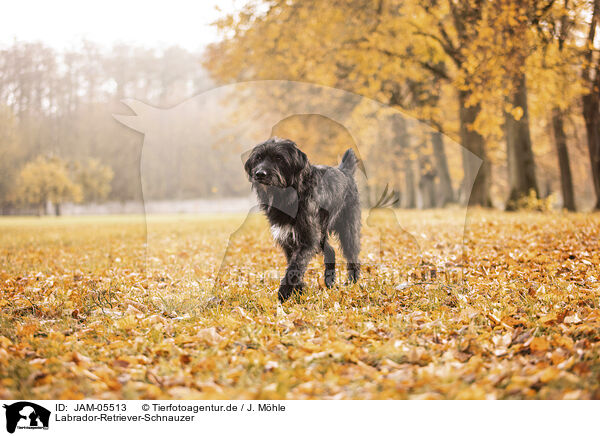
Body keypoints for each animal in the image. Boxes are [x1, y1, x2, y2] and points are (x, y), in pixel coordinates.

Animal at [244, 138, 360, 302]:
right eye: (258, 158)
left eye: (279, 158)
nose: (260, 174)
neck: (289, 195)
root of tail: (344, 171)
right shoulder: (288, 238)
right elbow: (293, 264)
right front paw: (299, 292)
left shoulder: (307, 239)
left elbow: (295, 266)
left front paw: (284, 293)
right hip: (320, 233)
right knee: (330, 251)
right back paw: (329, 281)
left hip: (347, 230)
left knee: (352, 256)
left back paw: (352, 282)